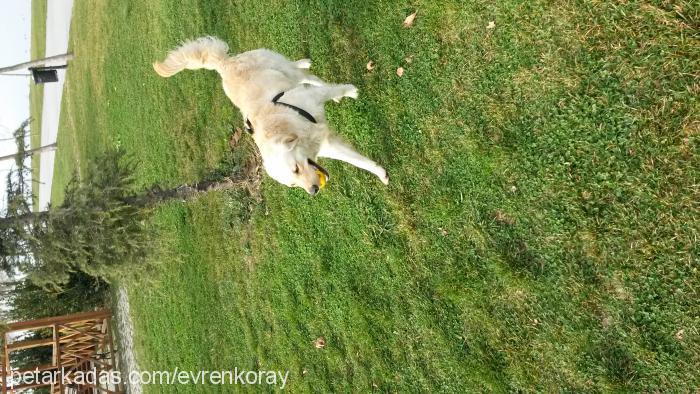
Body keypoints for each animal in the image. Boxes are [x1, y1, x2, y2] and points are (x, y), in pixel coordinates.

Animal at [152, 37, 388, 195]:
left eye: (296, 169)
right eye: (293, 183)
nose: (313, 190)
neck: (291, 125)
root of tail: (224, 65)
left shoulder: (314, 99)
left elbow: (334, 89)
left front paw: (350, 91)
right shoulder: (326, 145)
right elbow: (361, 162)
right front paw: (382, 174)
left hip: (283, 68)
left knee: (304, 75)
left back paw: (310, 69)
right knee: (303, 75)